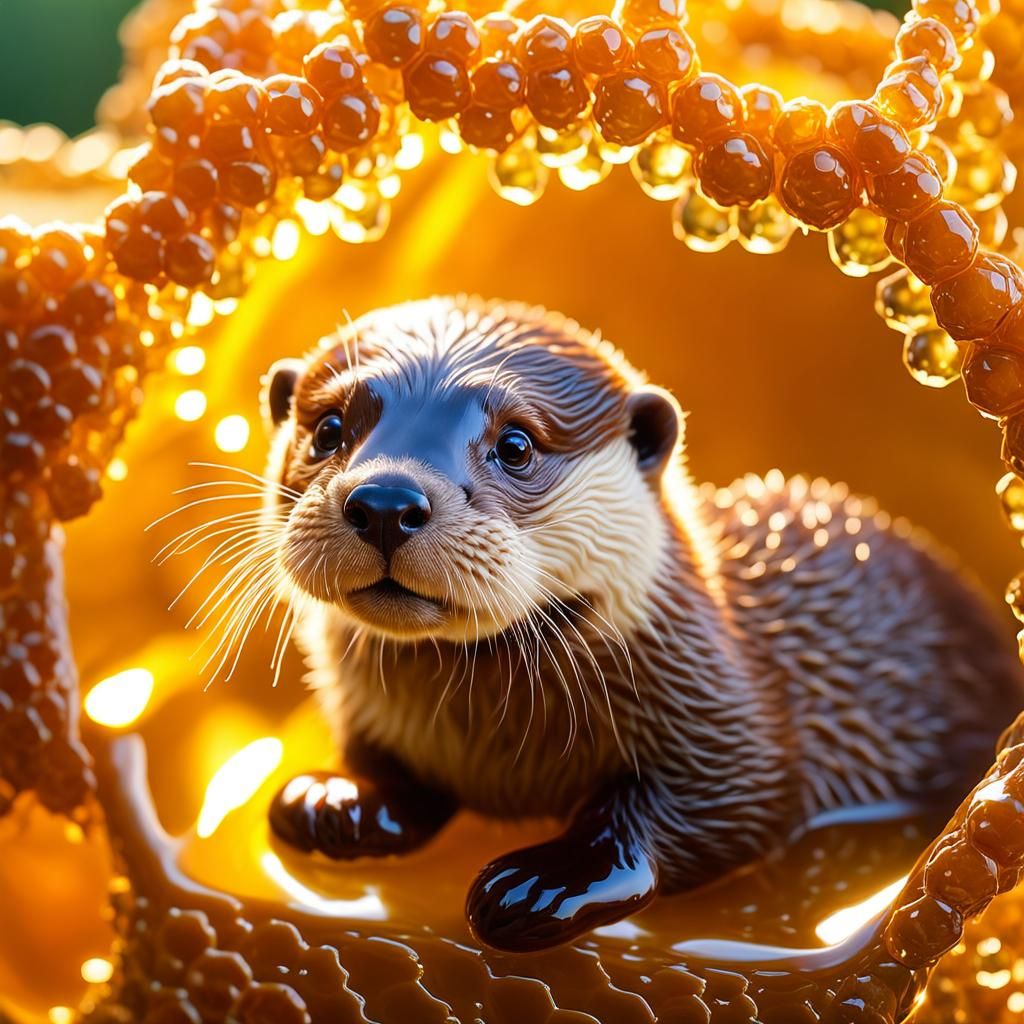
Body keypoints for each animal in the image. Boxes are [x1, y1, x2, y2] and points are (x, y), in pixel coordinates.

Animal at [259, 295, 1024, 953]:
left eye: (516, 445)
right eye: (328, 429)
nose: (387, 501)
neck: (487, 743)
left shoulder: (726, 716)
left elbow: (721, 802)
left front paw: (544, 883)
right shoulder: (373, 716)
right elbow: (393, 776)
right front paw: (336, 798)